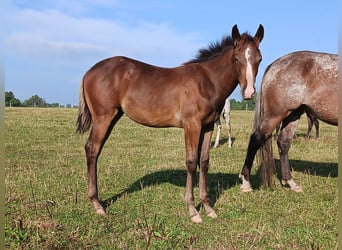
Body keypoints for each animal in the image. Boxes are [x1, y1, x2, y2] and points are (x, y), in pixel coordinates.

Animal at [77, 23, 264, 223]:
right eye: (236, 59)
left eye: (259, 59)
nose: (249, 93)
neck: (206, 81)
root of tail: (89, 72)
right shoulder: (192, 124)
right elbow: (191, 161)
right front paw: (193, 211)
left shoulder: (207, 126)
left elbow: (204, 161)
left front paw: (208, 207)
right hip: (103, 117)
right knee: (92, 149)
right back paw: (97, 204)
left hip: (112, 117)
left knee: (95, 150)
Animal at [239, 50, 338, 191]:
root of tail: (274, 64)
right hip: (275, 115)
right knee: (256, 139)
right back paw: (246, 182)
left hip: (294, 114)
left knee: (283, 142)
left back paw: (290, 182)